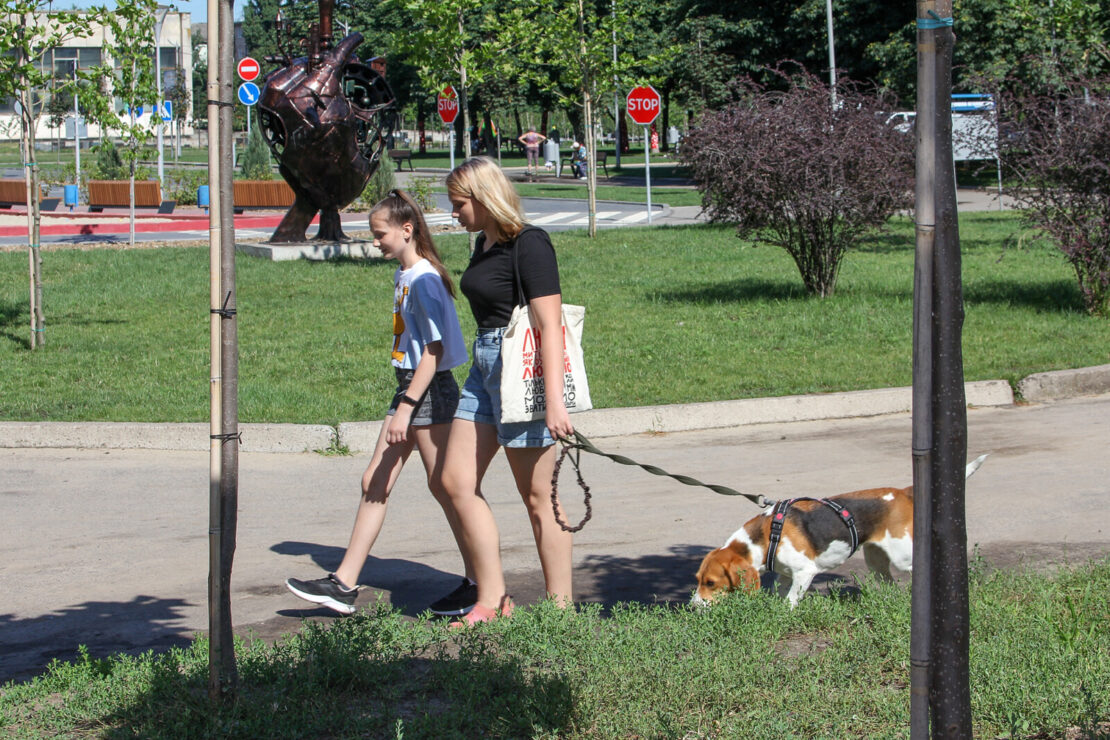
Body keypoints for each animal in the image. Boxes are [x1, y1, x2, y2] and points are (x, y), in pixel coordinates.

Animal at [692, 457, 990, 607]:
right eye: (698, 580)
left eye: (711, 583)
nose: (693, 606)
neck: (765, 537)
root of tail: (904, 492)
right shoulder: (786, 575)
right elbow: (781, 594)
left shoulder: (804, 573)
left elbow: (790, 602)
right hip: (876, 560)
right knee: (889, 584)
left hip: (903, 556)